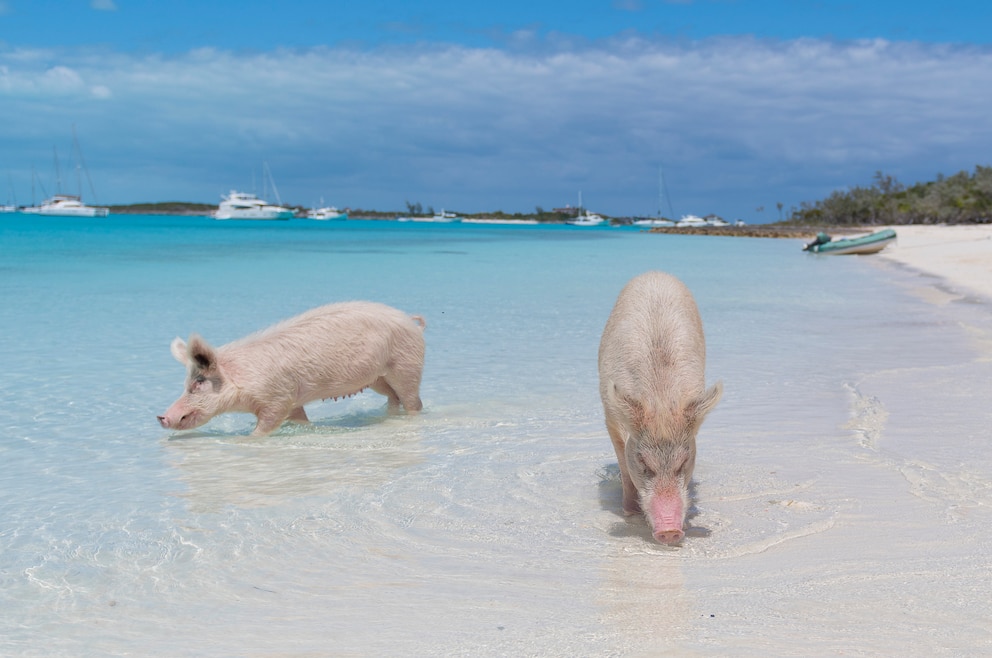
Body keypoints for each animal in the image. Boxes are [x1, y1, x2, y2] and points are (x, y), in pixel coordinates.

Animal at [159, 302, 426, 436]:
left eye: (198, 383)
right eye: (185, 384)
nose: (162, 417)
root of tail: (411, 322)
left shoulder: (278, 398)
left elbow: (264, 428)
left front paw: (250, 439)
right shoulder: (293, 401)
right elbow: (300, 420)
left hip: (406, 365)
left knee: (413, 401)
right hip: (378, 379)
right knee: (393, 397)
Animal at [596, 272, 720, 544]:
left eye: (683, 462)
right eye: (643, 462)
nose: (670, 531)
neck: (660, 400)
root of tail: (655, 273)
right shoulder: (610, 418)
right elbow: (624, 468)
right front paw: (629, 512)